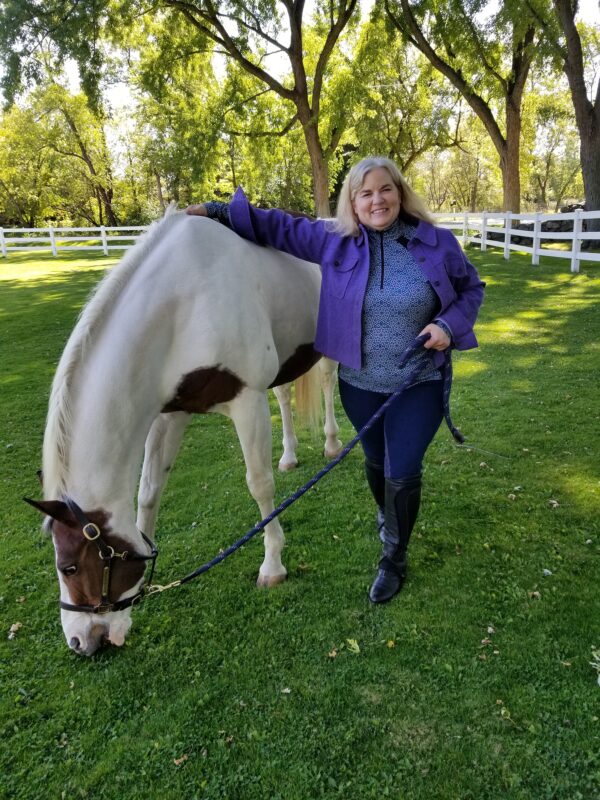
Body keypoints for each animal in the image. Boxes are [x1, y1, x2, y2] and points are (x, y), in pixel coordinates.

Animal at [26, 210, 342, 656]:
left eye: (68, 566)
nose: (80, 641)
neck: (182, 306)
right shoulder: (169, 414)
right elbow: (149, 492)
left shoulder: (246, 401)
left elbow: (259, 485)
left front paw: (273, 566)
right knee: (283, 395)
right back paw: (290, 455)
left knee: (328, 382)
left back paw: (331, 443)